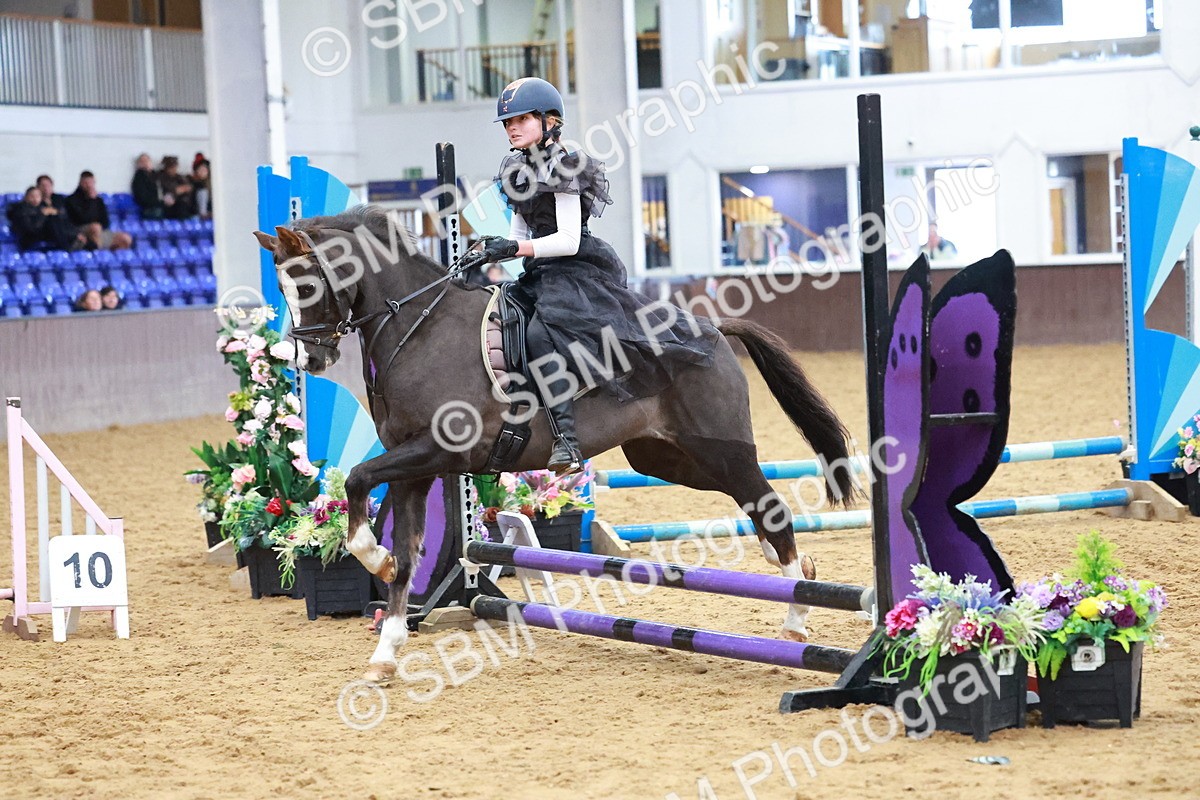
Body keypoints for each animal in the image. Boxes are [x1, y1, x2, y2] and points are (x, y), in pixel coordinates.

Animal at [254, 206, 857, 684]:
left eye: (304, 285)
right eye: (282, 290)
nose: (309, 360)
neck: (418, 330)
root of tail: (711, 329)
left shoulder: (437, 452)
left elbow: (360, 485)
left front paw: (373, 564)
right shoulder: (413, 468)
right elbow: (406, 557)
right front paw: (387, 647)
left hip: (720, 450)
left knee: (771, 507)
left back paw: (796, 613)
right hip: (668, 457)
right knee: (756, 509)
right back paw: (800, 576)